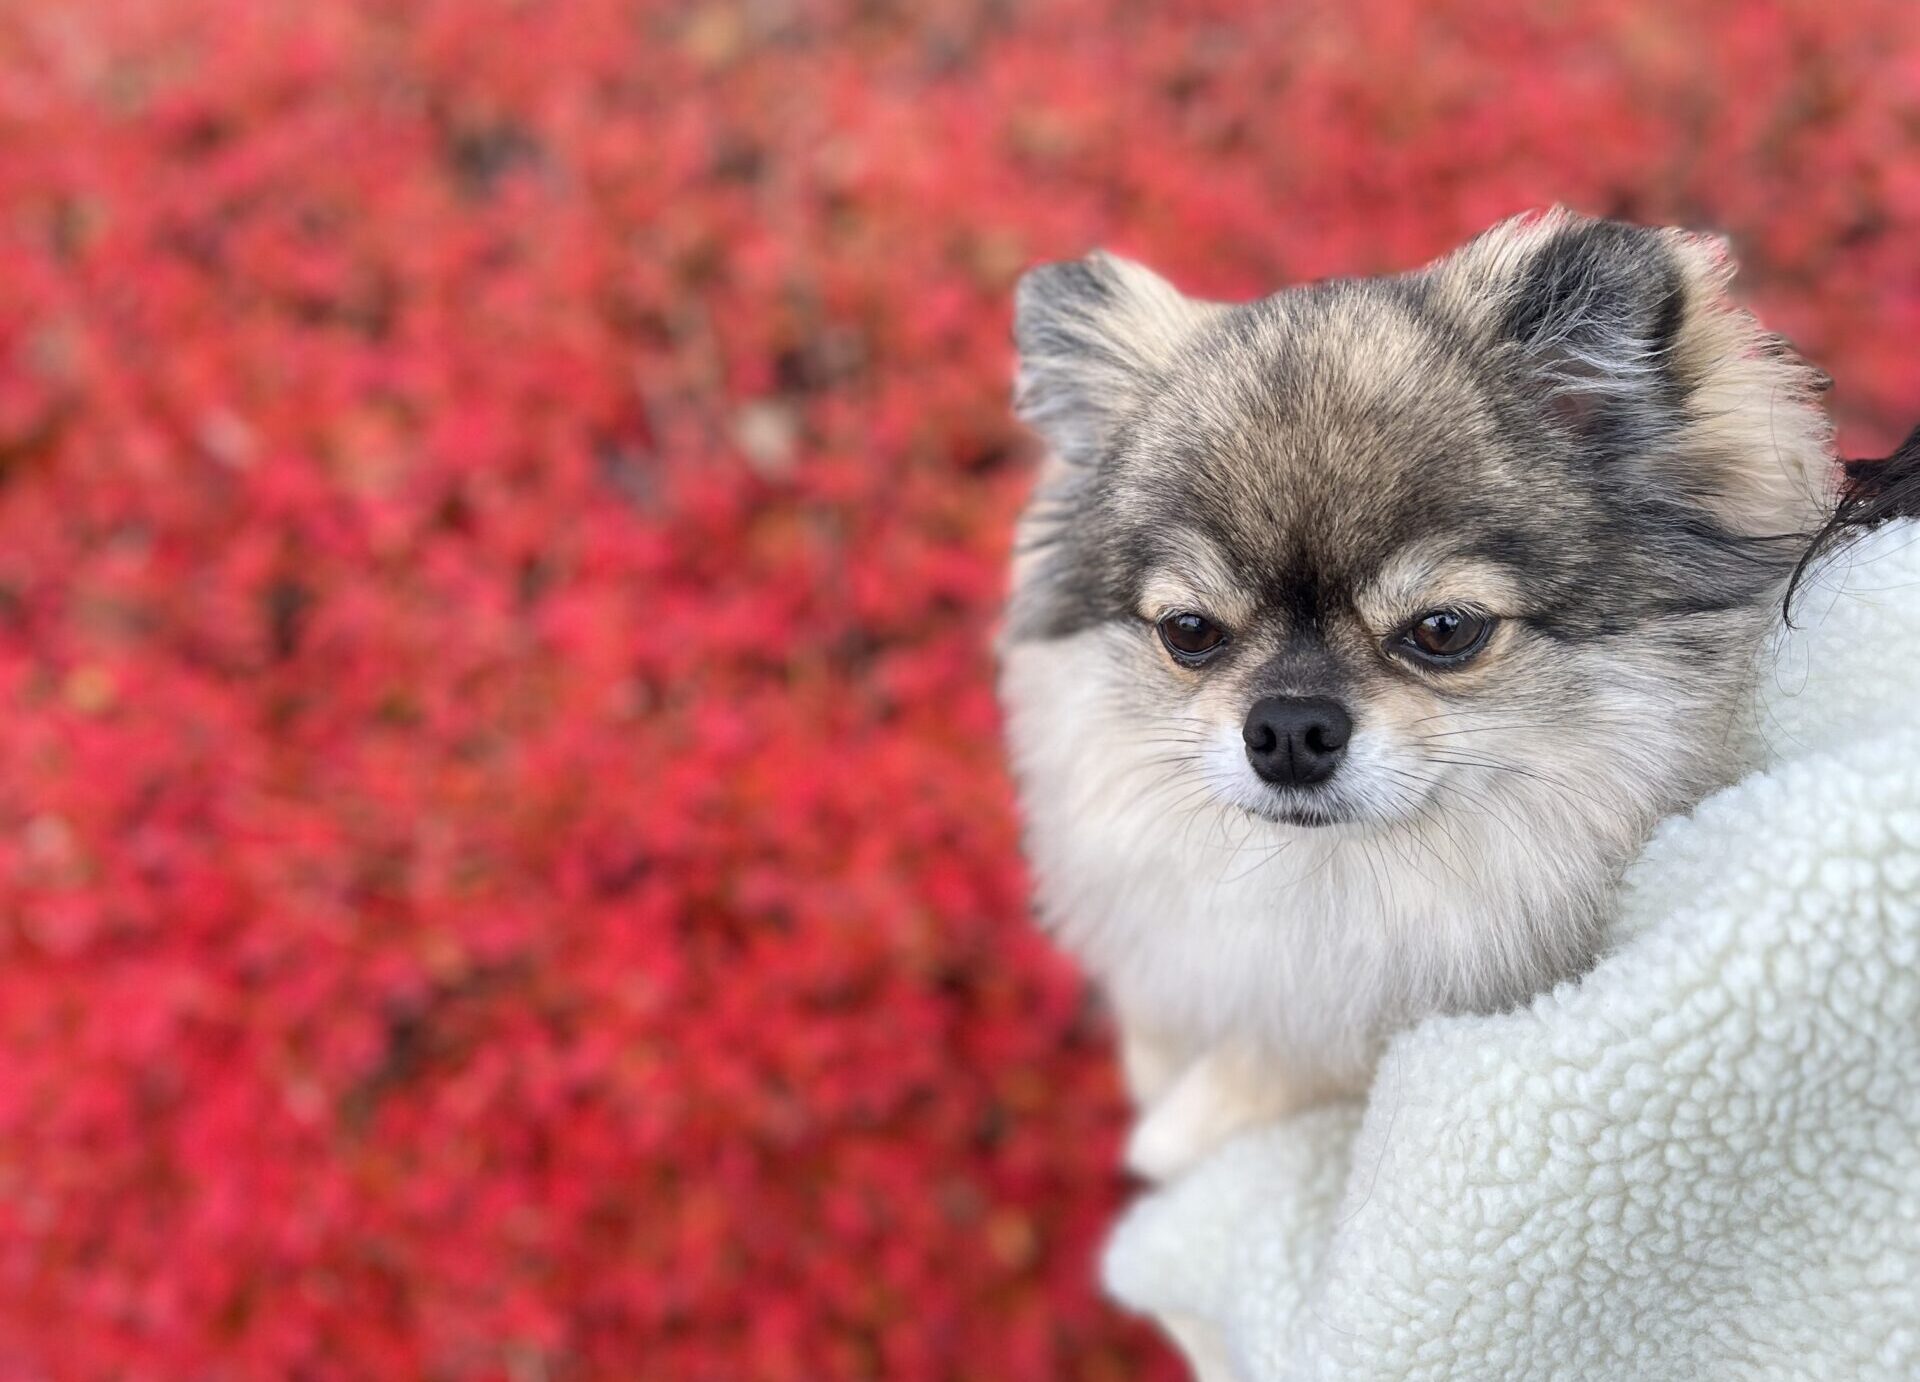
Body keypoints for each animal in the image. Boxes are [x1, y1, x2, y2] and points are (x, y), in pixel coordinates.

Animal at [1006, 208, 1827, 1174]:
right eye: (1191, 631)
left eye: (1443, 629)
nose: (1289, 728)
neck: (1336, 880)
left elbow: (1297, 1067)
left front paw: (1184, 1126)